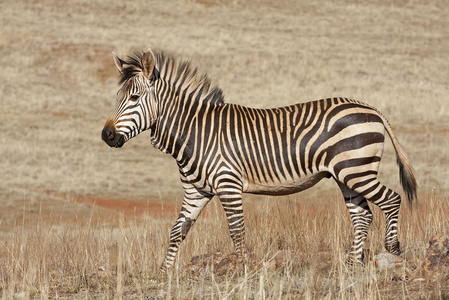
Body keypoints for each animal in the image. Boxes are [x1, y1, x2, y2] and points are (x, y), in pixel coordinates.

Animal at [101, 49, 416, 270]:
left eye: (135, 98)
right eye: (117, 97)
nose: (106, 135)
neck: (195, 133)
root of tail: (370, 107)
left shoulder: (227, 184)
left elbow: (236, 230)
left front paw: (241, 270)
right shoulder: (196, 190)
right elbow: (177, 230)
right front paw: (166, 273)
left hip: (356, 170)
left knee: (391, 199)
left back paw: (393, 251)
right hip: (346, 175)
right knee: (362, 215)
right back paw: (352, 264)